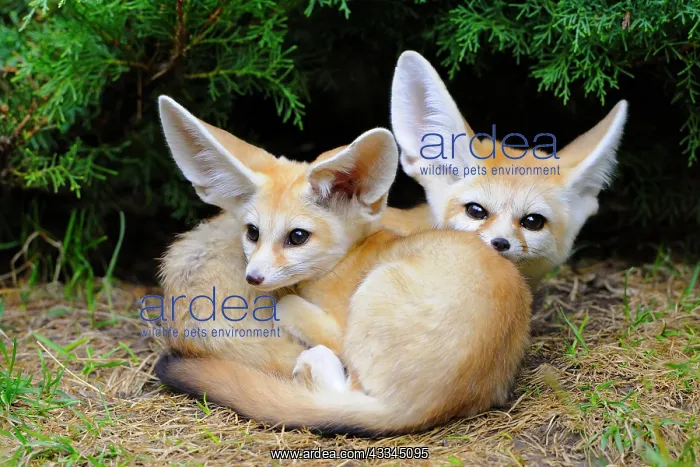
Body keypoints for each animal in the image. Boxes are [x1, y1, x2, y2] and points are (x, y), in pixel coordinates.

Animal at [154, 95, 533, 436]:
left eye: (297, 237)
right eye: (252, 232)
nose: (253, 278)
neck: (347, 259)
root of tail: (429, 407)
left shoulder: (337, 326)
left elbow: (287, 303)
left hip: (373, 296)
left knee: (345, 389)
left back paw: (312, 364)